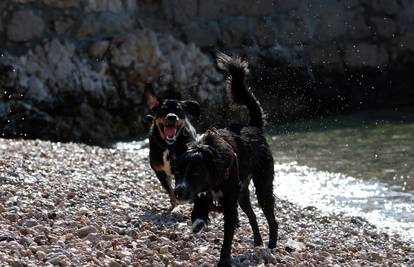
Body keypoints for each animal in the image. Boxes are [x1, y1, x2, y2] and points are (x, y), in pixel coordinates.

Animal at [173, 53, 276, 266]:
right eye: (177, 172)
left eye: (195, 172)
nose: (178, 191)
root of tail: (253, 127)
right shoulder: (202, 194)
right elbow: (199, 211)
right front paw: (198, 222)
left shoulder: (229, 203)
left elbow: (228, 235)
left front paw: (224, 260)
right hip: (242, 193)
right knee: (252, 215)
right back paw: (257, 241)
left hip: (262, 185)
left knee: (270, 217)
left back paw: (271, 244)